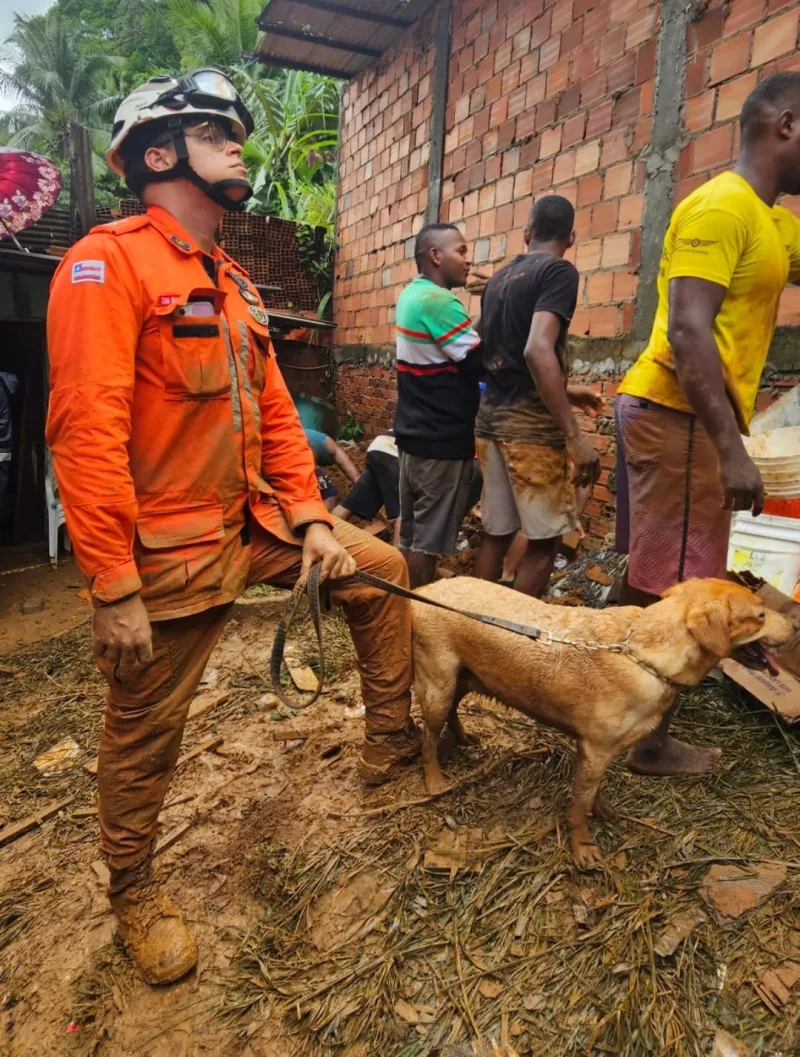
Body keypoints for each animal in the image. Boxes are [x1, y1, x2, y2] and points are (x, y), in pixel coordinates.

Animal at [412, 579, 794, 866]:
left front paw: (604, 808)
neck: (645, 655)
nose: (795, 625)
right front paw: (583, 847)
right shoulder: (594, 750)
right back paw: (435, 782)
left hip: (462, 679)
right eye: (760, 614)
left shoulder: (600, 752)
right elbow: (579, 807)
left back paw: (463, 739)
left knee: (451, 715)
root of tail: (425, 588)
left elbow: (593, 791)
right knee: (428, 740)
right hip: (439, 686)